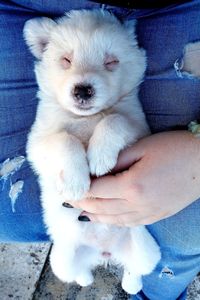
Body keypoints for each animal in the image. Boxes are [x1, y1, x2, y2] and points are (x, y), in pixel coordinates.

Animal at [23, 9, 161, 296]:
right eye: (66, 60)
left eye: (111, 62)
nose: (83, 89)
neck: (85, 119)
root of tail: (103, 253)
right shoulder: (37, 144)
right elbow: (64, 140)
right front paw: (76, 182)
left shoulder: (139, 129)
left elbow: (114, 120)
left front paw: (99, 157)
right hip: (61, 259)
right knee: (77, 271)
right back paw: (86, 279)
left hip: (146, 249)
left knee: (136, 270)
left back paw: (131, 286)